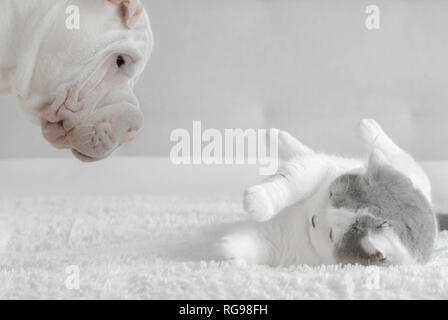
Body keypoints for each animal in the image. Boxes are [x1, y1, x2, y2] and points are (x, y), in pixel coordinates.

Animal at [217, 119, 438, 266]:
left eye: (332, 234)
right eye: (330, 195)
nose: (314, 218)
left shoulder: (283, 246)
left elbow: (255, 243)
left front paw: (228, 251)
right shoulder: (317, 169)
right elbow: (290, 181)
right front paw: (259, 202)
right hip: (400, 166)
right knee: (393, 151)